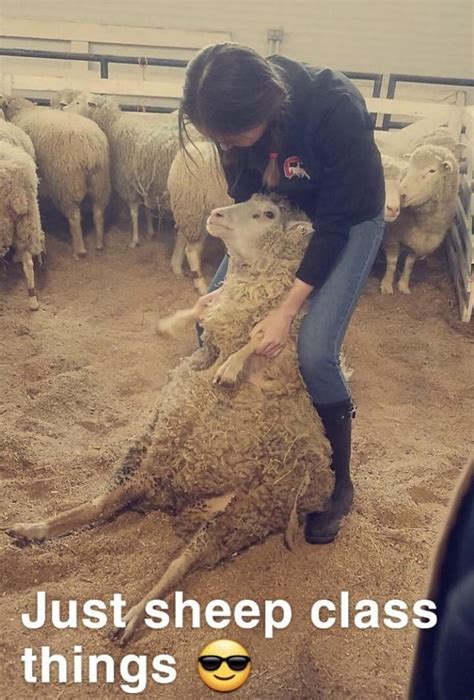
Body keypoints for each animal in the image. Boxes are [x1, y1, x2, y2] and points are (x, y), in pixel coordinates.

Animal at [0, 96, 111, 258]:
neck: (23, 109)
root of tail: (89, 148)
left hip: (66, 186)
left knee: (74, 218)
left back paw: (79, 250)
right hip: (100, 183)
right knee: (98, 213)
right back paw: (99, 244)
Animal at [4, 193, 334, 645]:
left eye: (268, 214)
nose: (216, 214)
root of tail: (178, 499)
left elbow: (253, 341)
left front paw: (233, 363)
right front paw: (184, 327)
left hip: (241, 511)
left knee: (177, 562)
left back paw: (130, 616)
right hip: (158, 457)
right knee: (106, 502)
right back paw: (35, 529)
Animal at [168, 139, 233, 294]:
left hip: (188, 212)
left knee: (181, 237)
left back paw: (177, 268)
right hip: (197, 213)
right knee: (191, 251)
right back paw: (201, 285)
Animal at [380, 145, 459, 295]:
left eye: (432, 170)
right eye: (410, 167)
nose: (402, 195)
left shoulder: (417, 242)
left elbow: (409, 265)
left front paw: (403, 285)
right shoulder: (391, 235)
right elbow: (392, 263)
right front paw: (387, 285)